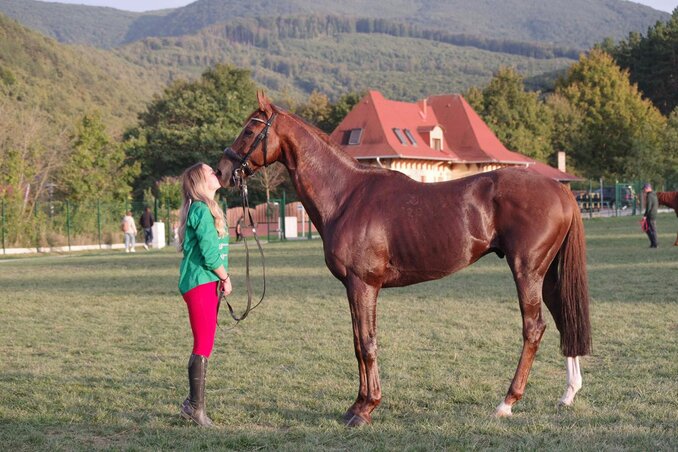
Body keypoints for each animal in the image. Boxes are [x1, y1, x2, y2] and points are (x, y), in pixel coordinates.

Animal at [220, 93, 592, 426]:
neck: (346, 195)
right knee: (564, 319)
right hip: (548, 274)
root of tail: (560, 190)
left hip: (527, 271)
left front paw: (365, 409)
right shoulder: (354, 287)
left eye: (250, 130)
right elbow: (357, 342)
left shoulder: (363, 284)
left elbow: (367, 344)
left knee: (534, 328)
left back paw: (506, 403)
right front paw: (356, 405)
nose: (223, 170)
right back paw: (568, 393)